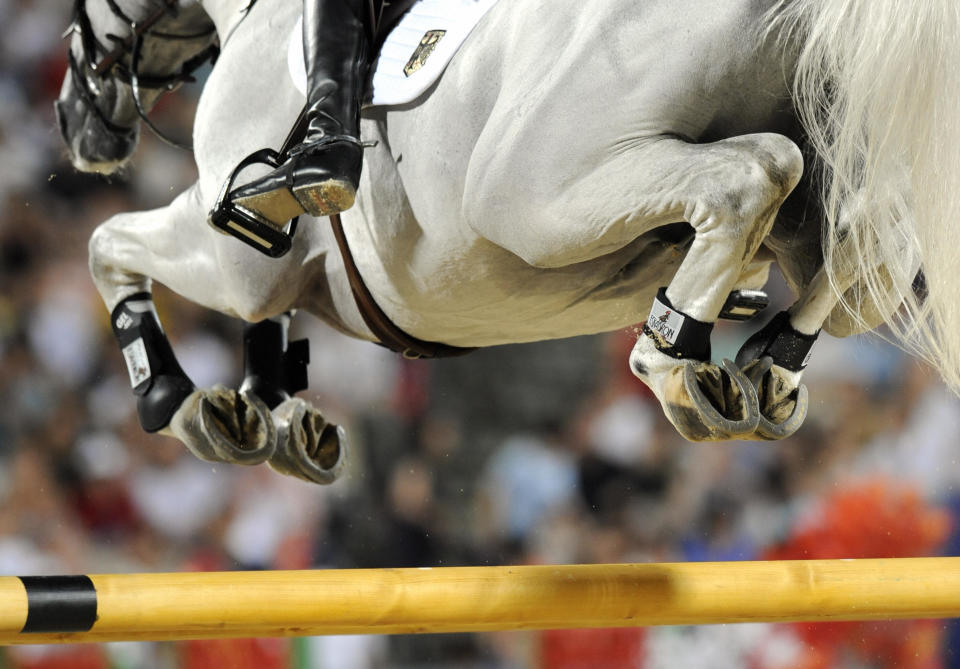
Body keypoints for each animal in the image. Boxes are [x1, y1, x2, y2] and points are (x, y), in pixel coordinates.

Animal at [58, 0, 960, 480]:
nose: (77, 123)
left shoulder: (234, 255)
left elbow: (107, 243)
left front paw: (171, 398)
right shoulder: (264, 278)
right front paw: (265, 410)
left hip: (533, 191)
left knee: (754, 175)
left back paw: (674, 359)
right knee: (860, 243)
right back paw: (766, 365)